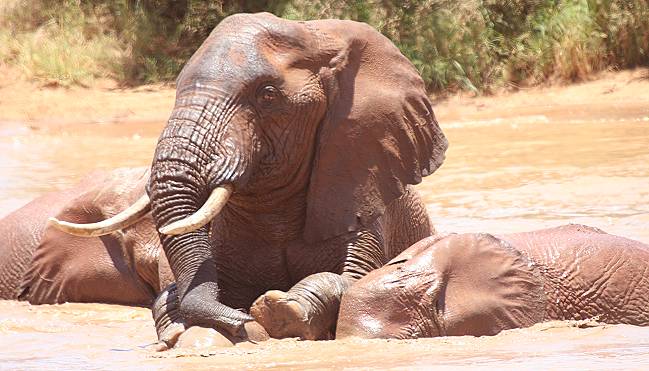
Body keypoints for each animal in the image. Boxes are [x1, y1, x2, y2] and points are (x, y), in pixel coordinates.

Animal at [49, 13, 446, 348]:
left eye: (267, 95)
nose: (245, 325)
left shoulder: (358, 187)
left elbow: (358, 281)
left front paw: (279, 310)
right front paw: (180, 324)